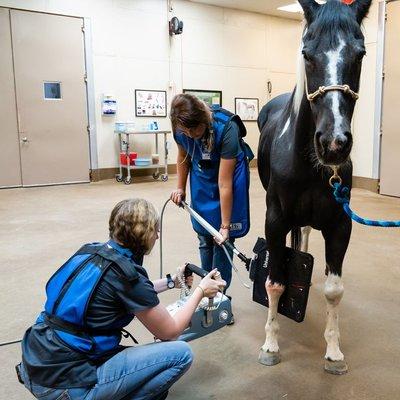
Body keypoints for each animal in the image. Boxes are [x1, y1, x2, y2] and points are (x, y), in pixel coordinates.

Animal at [256, 0, 372, 376]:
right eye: (307, 54)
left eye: (361, 54)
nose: (334, 144)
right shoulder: (275, 221)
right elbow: (274, 281)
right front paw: (271, 344)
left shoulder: (340, 225)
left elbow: (334, 289)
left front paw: (334, 352)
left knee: (304, 235)